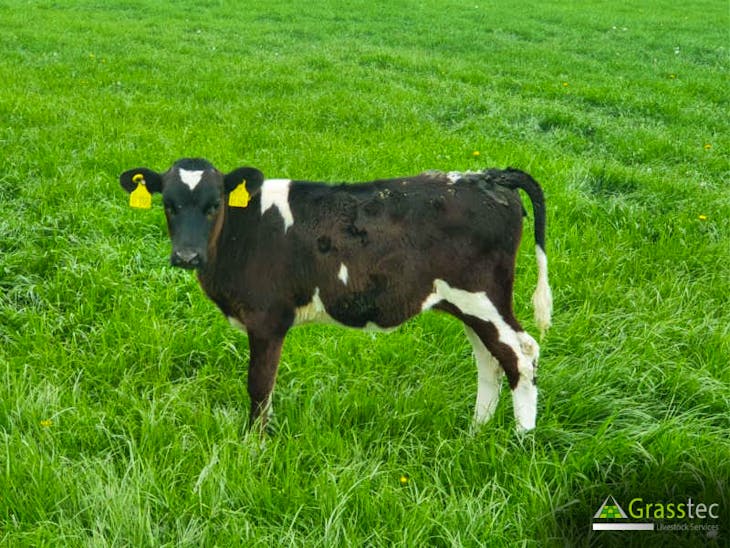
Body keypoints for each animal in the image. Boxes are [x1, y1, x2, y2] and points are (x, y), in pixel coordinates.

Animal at [120, 158, 552, 433]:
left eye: (213, 205)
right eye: (169, 204)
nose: (186, 256)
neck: (242, 233)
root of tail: (490, 177)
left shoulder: (268, 318)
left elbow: (259, 385)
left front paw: (254, 446)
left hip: (483, 296)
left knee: (520, 354)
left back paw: (521, 439)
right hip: (466, 304)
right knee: (489, 360)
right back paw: (475, 432)